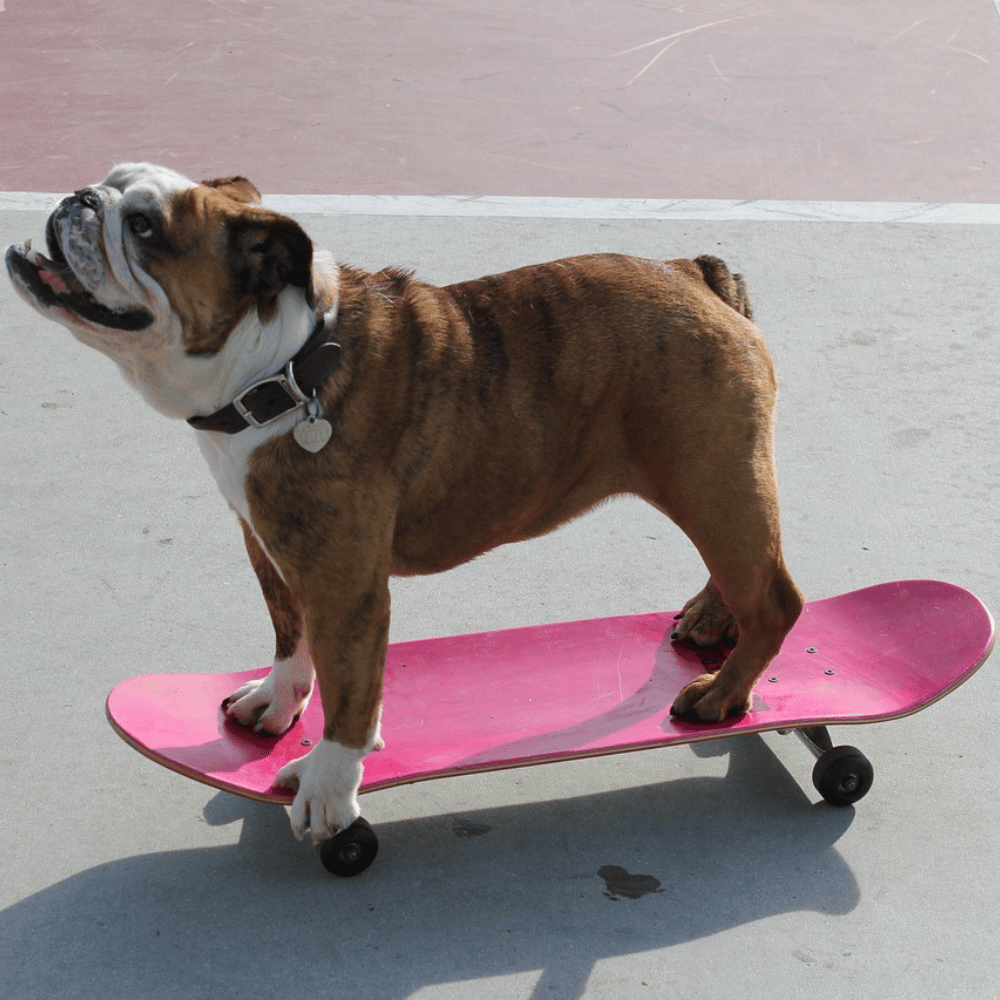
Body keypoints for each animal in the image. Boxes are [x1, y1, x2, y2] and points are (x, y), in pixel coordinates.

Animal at [5, 164, 804, 844]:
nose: (78, 197)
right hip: (718, 486)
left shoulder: (344, 583)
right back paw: (710, 619)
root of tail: (692, 273)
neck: (278, 367)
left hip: (713, 483)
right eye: (108, 184)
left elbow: (350, 690)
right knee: (748, 574)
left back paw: (723, 695)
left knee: (775, 599)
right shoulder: (273, 547)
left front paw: (329, 788)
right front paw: (279, 702)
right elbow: (292, 635)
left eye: (144, 226)